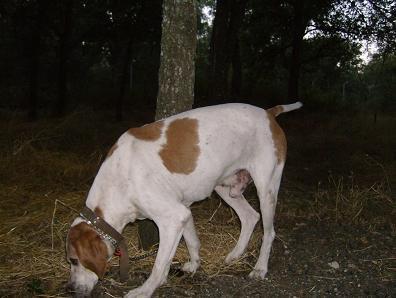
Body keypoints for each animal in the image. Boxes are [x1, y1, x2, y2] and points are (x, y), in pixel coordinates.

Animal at [66, 102, 302, 296]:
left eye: (74, 261)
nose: (71, 290)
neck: (119, 179)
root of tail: (268, 113)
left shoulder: (172, 217)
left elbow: (159, 263)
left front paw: (146, 290)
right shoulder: (183, 212)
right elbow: (190, 242)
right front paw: (193, 265)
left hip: (266, 190)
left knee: (269, 233)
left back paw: (260, 268)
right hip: (224, 188)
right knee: (250, 217)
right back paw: (235, 254)